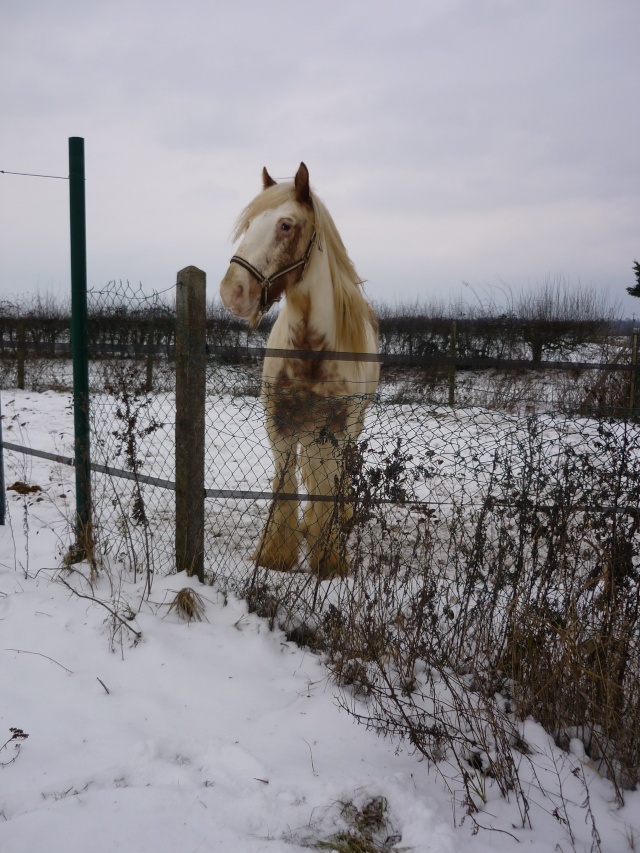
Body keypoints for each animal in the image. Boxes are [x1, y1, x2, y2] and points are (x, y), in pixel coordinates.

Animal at [220, 163, 380, 576]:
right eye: (249, 225)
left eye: (286, 225)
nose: (232, 292)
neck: (310, 350)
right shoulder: (279, 427)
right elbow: (286, 481)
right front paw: (275, 553)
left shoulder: (337, 431)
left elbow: (329, 485)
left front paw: (330, 558)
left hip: (350, 428)